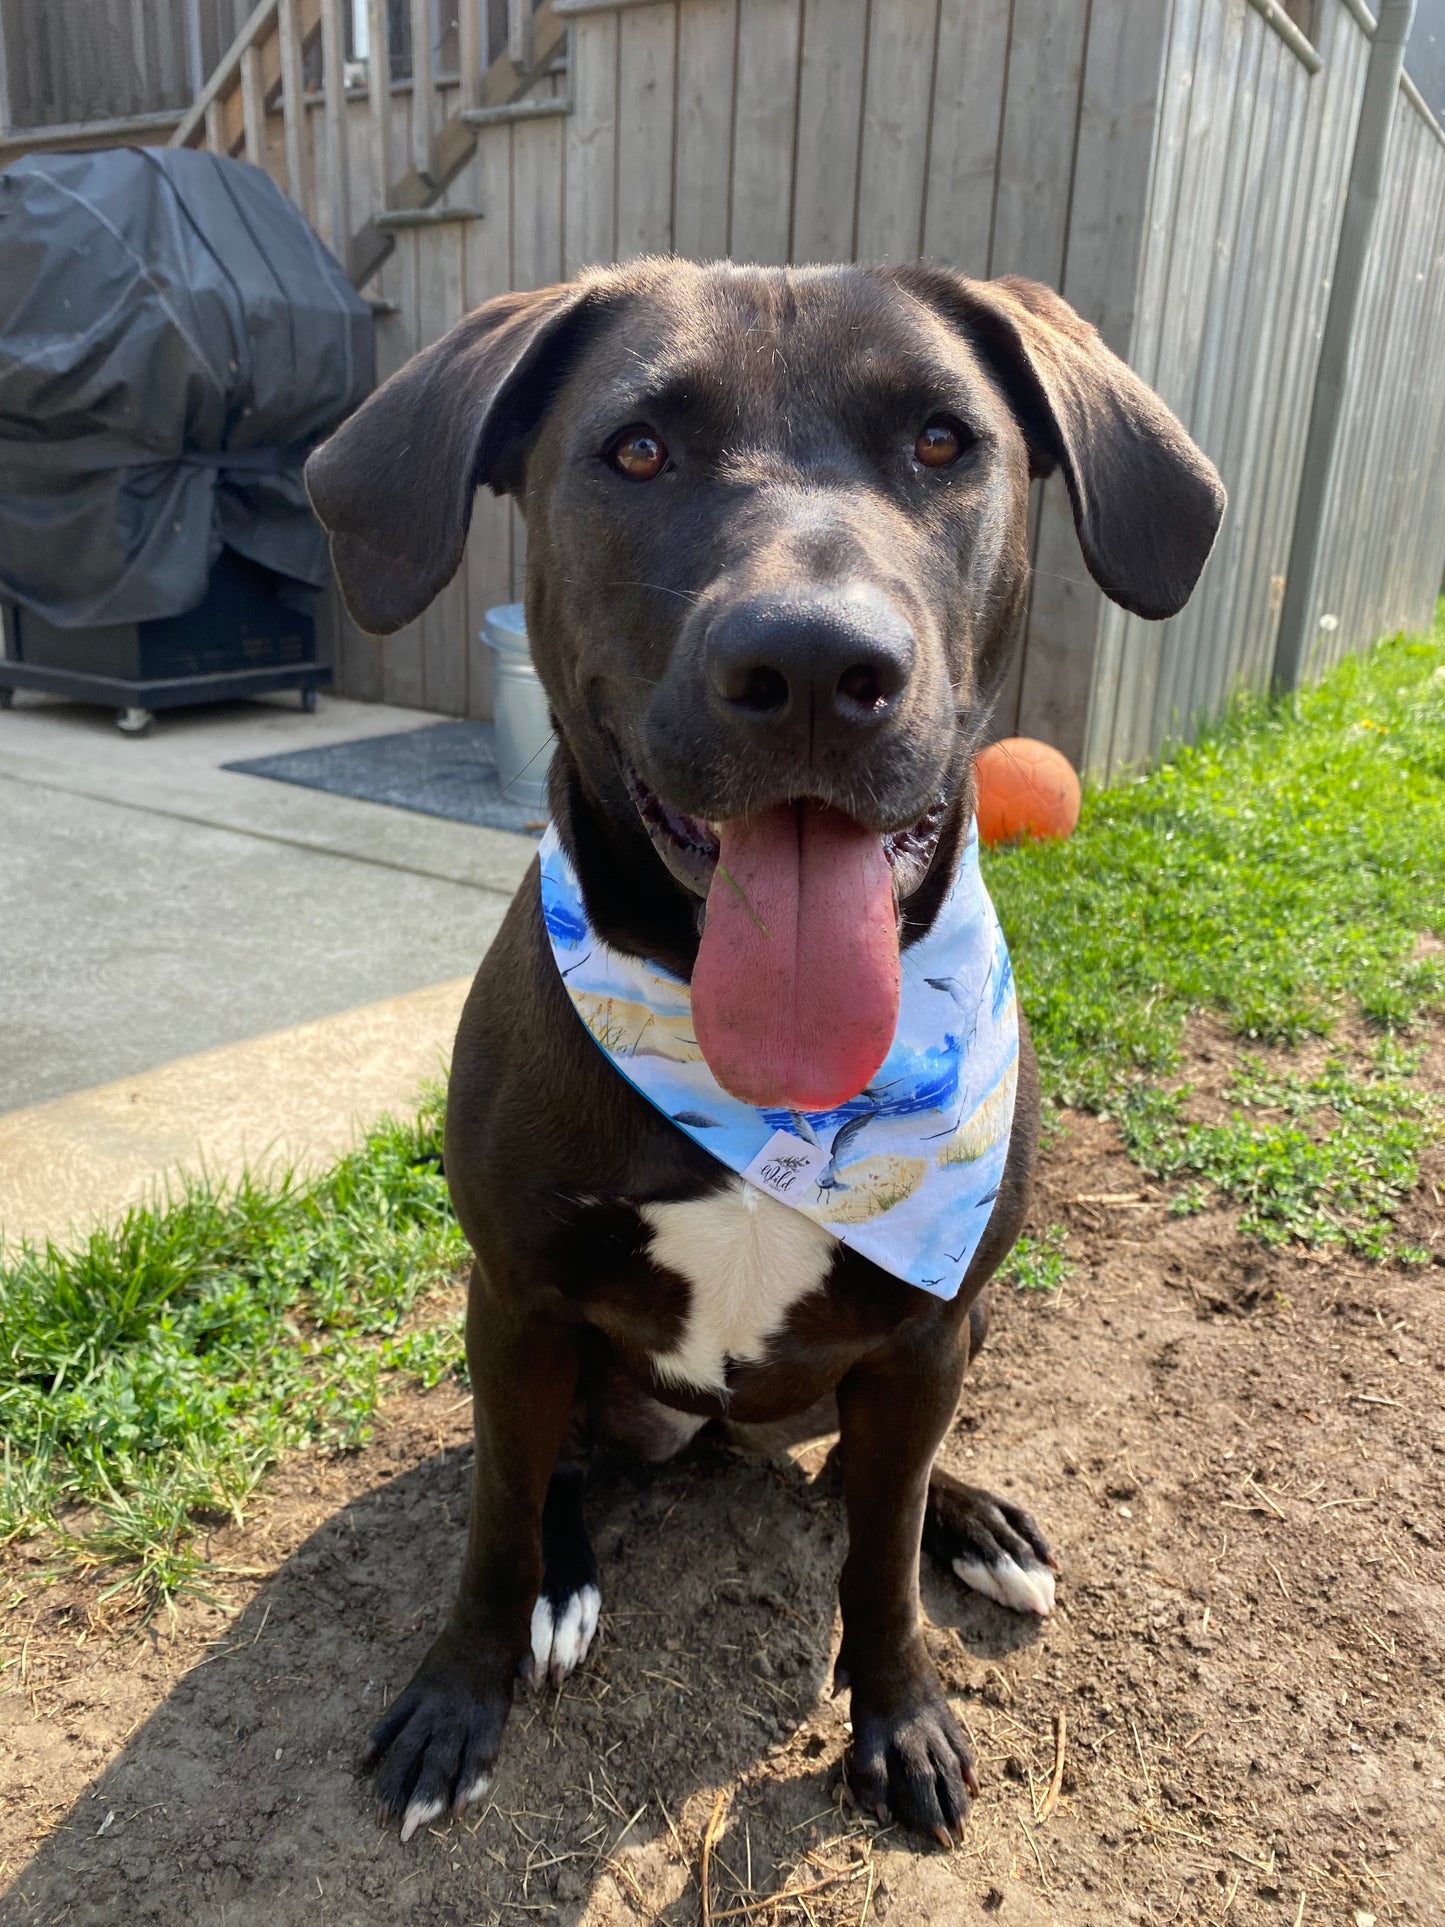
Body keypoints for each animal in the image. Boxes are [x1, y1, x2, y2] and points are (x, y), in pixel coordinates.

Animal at [312, 248, 1225, 1842]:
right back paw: (564, 1578)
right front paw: (456, 1693)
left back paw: (973, 1518)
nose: (810, 663)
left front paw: (899, 1714)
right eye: (635, 449)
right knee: (544, 1472)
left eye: (941, 440)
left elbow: (878, 1553)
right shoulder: (516, 1294)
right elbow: (489, 1521)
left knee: (869, 1478)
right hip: (545, 1349)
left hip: (952, 1331)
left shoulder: (923, 1329)